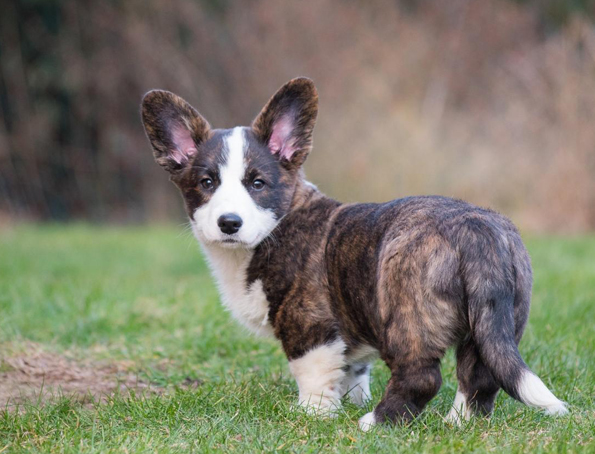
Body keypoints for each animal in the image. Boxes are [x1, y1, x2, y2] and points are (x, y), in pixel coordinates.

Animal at [141, 77, 568, 430]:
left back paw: (376, 423)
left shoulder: (309, 325)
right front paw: (349, 400)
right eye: (206, 183)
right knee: (480, 375)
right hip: (494, 320)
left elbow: (312, 372)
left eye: (257, 184)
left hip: (404, 313)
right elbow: (353, 369)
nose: (229, 223)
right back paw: (457, 424)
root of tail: (475, 227)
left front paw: (314, 414)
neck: (277, 226)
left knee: (422, 376)